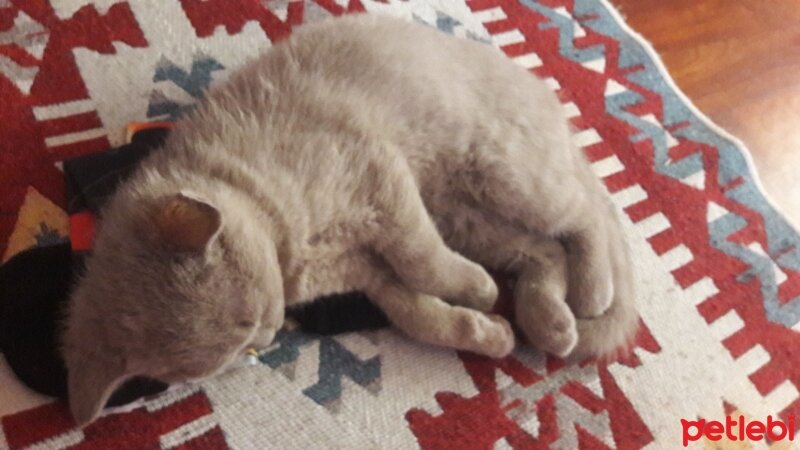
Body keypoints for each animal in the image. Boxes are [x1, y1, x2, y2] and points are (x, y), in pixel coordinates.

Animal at [61, 14, 636, 428]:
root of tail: (539, 90)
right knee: (545, 249)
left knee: (585, 218)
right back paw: (548, 320)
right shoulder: (368, 273)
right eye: (242, 347)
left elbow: (424, 261)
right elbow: (418, 313)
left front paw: (476, 290)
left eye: (251, 319)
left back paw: (590, 293)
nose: (272, 332)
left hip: (507, 174)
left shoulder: (382, 180)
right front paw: (485, 332)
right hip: (470, 218)